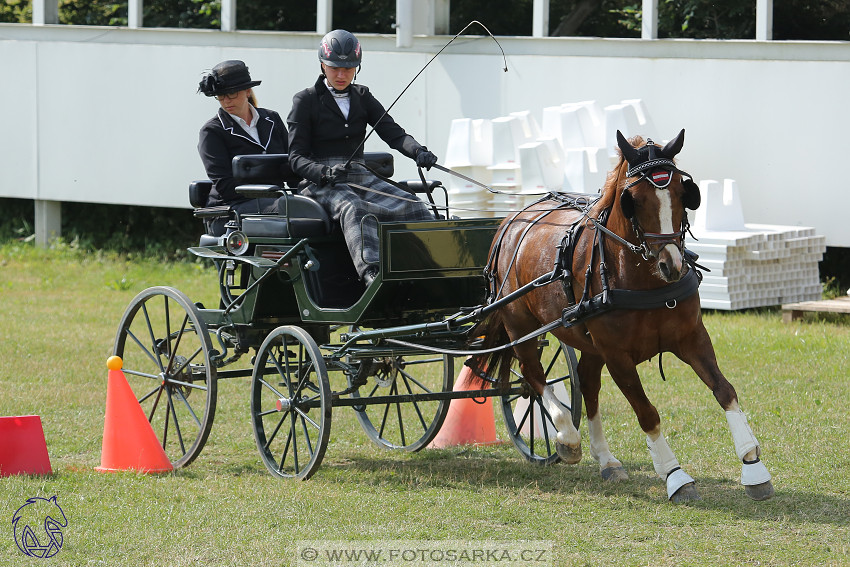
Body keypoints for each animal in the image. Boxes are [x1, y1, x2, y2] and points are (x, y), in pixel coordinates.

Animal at [474, 131, 772, 504]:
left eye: (682, 193)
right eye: (634, 200)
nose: (671, 265)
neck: (642, 279)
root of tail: (510, 221)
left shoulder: (692, 338)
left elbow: (725, 391)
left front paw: (753, 465)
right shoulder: (617, 356)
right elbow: (647, 413)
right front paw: (675, 476)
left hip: (587, 342)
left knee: (587, 383)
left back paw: (606, 459)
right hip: (521, 326)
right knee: (533, 375)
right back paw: (567, 437)